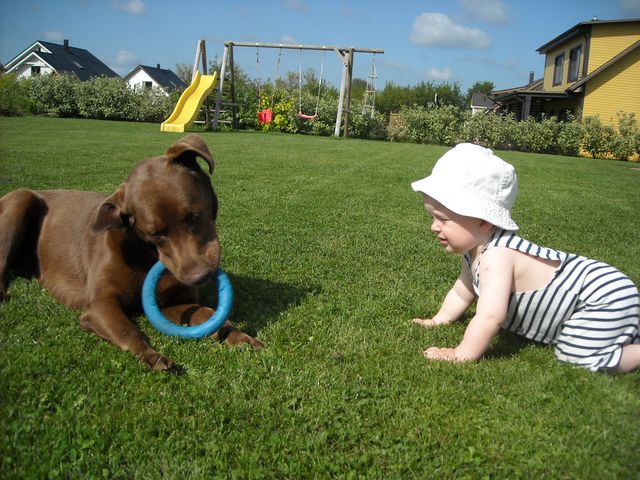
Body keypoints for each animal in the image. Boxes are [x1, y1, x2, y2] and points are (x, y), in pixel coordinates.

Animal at [0, 134, 263, 371]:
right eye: (155, 233)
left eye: (193, 216)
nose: (198, 276)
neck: (143, 255)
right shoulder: (100, 304)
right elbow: (127, 330)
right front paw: (151, 355)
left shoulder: (173, 302)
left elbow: (208, 315)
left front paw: (238, 336)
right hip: (19, 200)